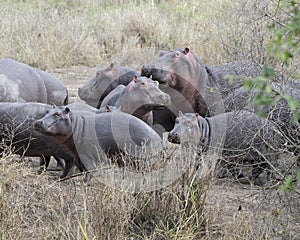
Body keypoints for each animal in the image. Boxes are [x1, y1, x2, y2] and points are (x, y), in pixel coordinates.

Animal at [34, 106, 164, 179]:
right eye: (47, 111)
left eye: (58, 114)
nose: (38, 122)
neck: (77, 125)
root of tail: (159, 139)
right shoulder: (77, 154)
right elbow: (80, 167)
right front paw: (60, 178)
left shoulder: (88, 154)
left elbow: (88, 169)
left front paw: (85, 182)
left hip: (142, 158)